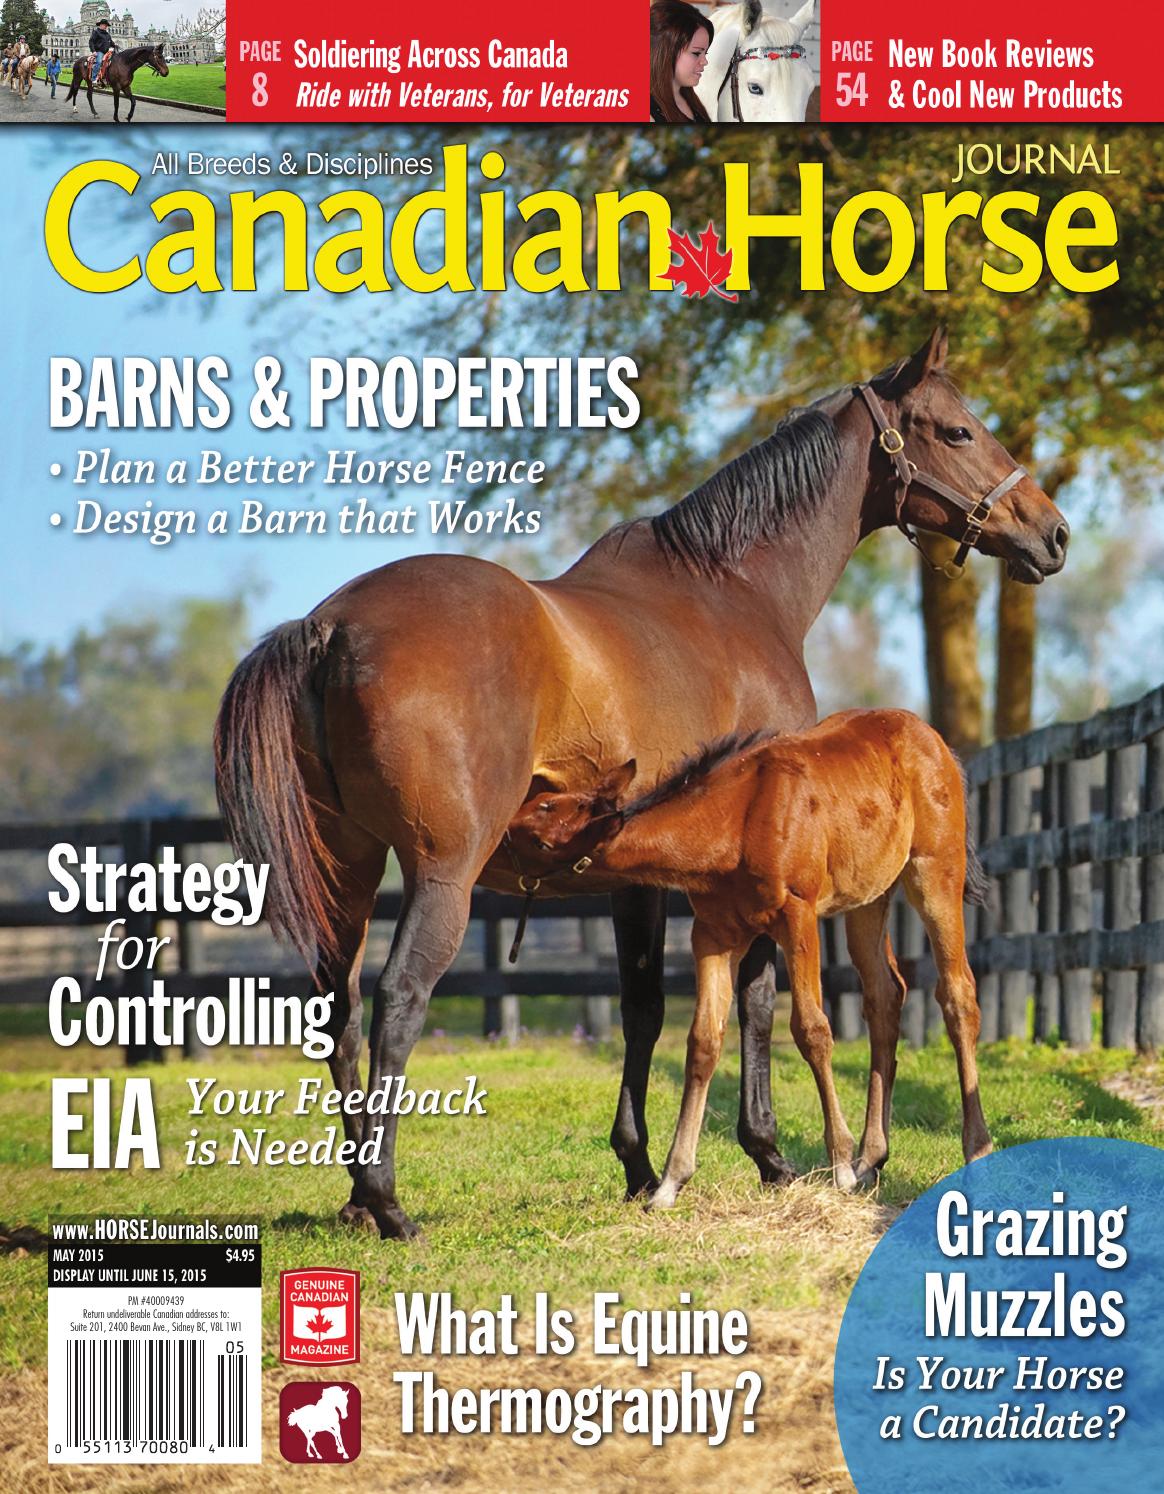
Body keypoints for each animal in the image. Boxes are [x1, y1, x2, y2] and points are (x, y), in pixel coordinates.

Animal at [507, 711, 994, 1208]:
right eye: (546, 801)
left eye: (542, 836)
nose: (501, 828)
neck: (737, 822)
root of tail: (933, 738)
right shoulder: (713, 935)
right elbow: (703, 1041)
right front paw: (670, 1182)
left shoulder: (798, 917)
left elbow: (812, 1030)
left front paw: (838, 1165)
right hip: (868, 897)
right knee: (884, 994)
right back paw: (871, 1157)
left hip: (935, 873)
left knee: (958, 995)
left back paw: (973, 1151)